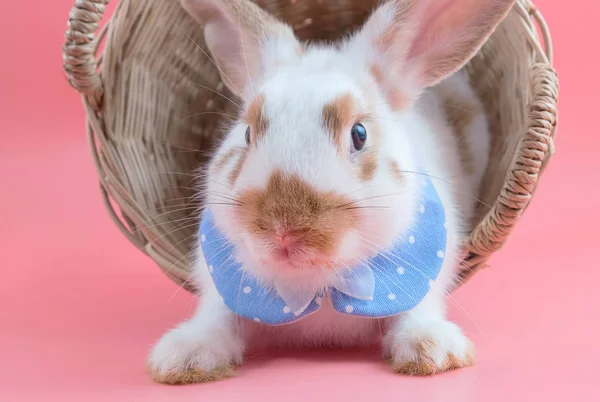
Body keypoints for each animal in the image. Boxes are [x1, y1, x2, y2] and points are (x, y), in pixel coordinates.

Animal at [146, 0, 516, 384]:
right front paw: (184, 358)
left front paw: (433, 350)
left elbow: (417, 310)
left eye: (359, 134)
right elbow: (216, 315)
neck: (316, 285)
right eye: (247, 134)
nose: (283, 229)